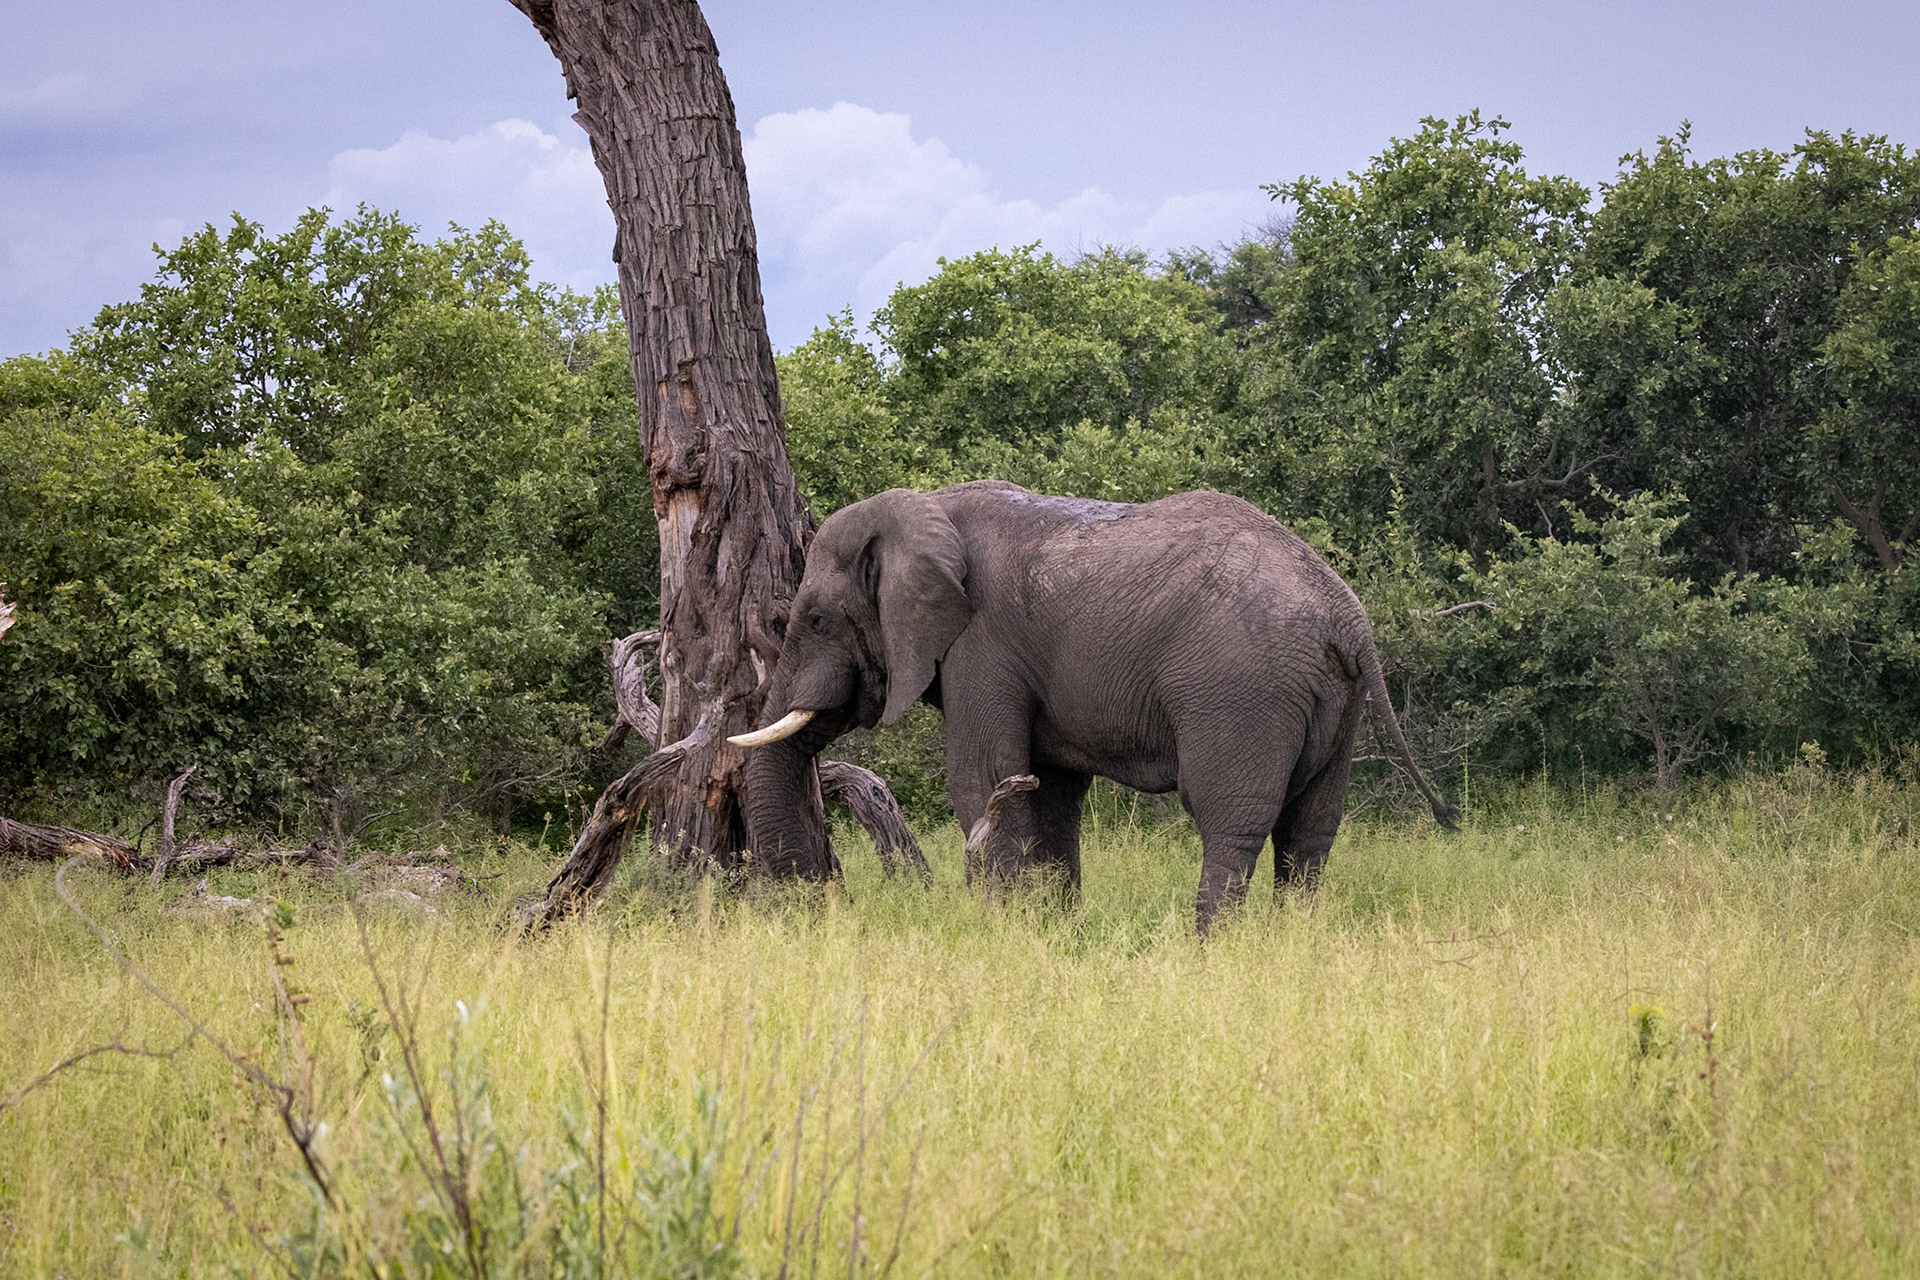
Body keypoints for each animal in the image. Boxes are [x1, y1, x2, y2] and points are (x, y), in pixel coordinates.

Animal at [732, 480, 1458, 934]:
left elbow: (984, 779)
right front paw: (1053, 933)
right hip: (1341, 701)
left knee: (1230, 821)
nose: (815, 906)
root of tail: (1350, 619)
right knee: (1311, 830)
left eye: (814, 620)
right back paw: (1290, 948)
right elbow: (1049, 792)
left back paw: (1208, 953)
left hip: (1244, 693)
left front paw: (1005, 934)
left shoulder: (981, 647)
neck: (926, 508)